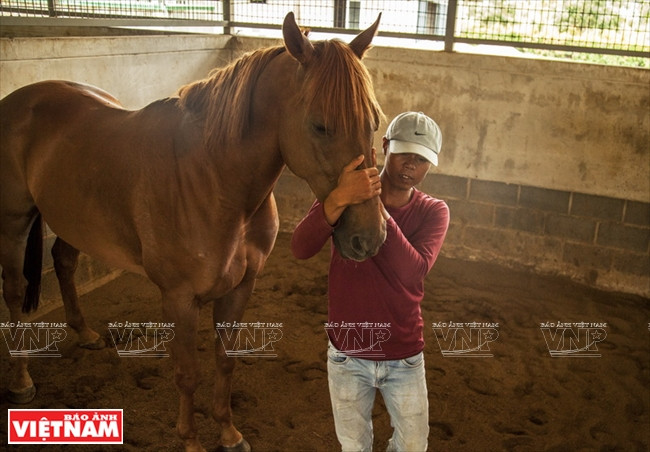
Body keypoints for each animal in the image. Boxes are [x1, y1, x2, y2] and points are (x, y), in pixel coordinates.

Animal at [0, 12, 386, 451]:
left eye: (373, 122)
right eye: (320, 126)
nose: (370, 238)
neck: (213, 178)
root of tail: (20, 100)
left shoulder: (241, 287)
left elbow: (224, 360)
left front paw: (230, 433)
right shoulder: (180, 299)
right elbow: (187, 374)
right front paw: (191, 440)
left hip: (73, 220)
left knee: (63, 262)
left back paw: (84, 333)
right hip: (13, 222)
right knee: (14, 291)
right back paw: (22, 381)